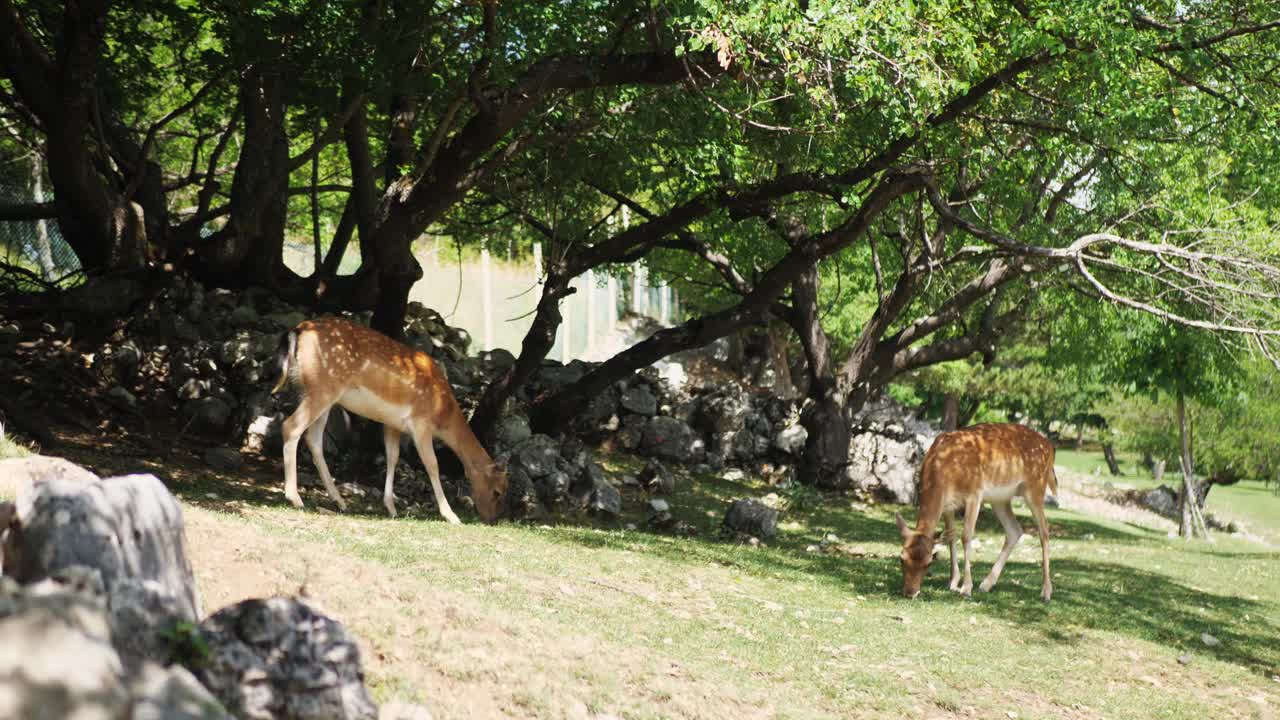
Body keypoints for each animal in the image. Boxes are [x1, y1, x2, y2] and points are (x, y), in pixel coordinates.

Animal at [272, 315, 506, 520]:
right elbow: (432, 464)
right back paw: (295, 498)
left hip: (315, 393)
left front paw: (391, 508)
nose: (491, 519)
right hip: (323, 389)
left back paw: (340, 501)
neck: (444, 412)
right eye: (498, 491)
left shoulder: (392, 424)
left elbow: (392, 457)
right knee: (290, 426)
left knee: (313, 439)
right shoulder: (421, 422)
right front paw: (451, 515)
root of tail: (298, 330)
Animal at [896, 420, 1054, 599]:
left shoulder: (974, 493)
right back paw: (986, 584)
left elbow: (966, 536)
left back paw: (1046, 592)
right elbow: (951, 537)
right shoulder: (948, 505)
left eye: (929, 562)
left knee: (1044, 530)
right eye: (901, 558)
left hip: (1036, 488)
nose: (910, 593)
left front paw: (966, 588)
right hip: (1000, 499)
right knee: (1015, 530)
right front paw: (953, 582)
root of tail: (1050, 447)